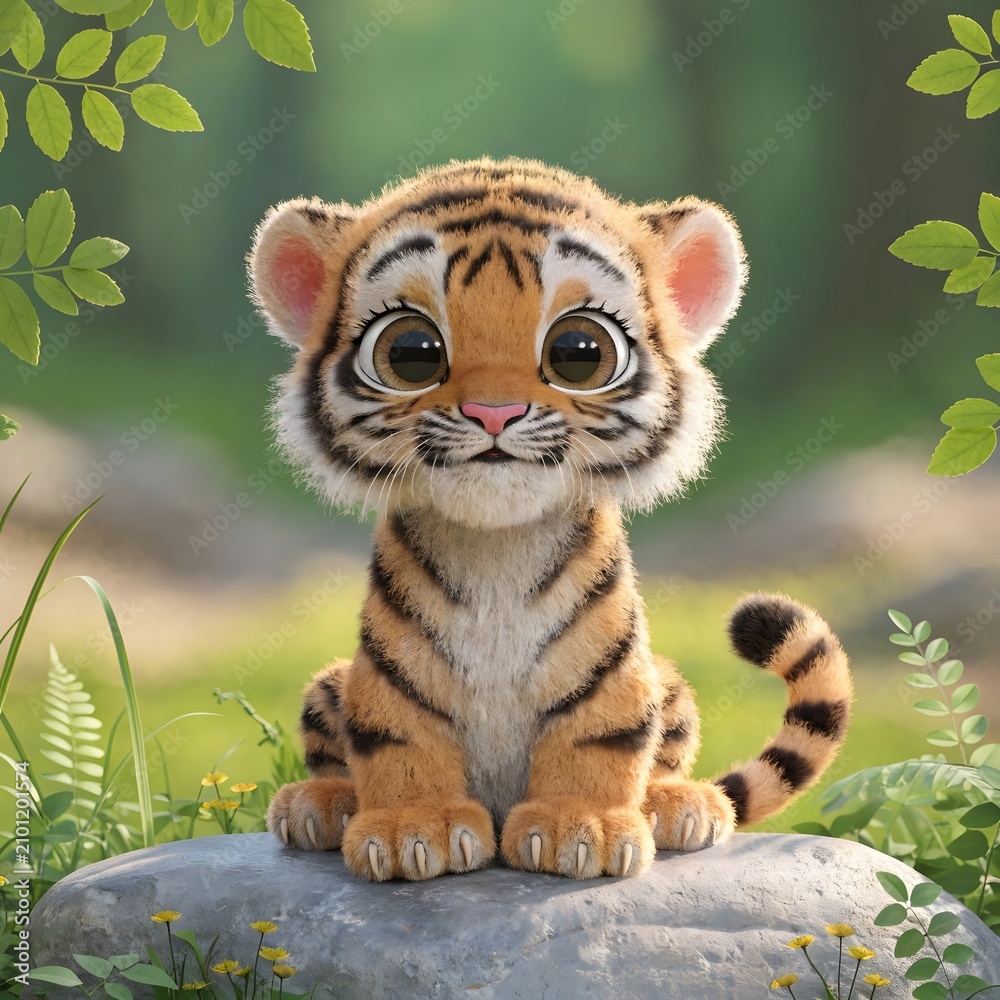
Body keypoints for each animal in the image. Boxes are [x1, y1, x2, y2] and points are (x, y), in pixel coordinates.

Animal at [248, 156, 852, 882]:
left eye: (579, 351)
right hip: (329, 684)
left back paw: (679, 805)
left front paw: (580, 830)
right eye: (412, 351)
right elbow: (399, 739)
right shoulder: (391, 673)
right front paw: (410, 830)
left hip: (671, 686)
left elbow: (599, 738)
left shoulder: (611, 673)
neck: (496, 550)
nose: (494, 413)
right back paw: (320, 804)